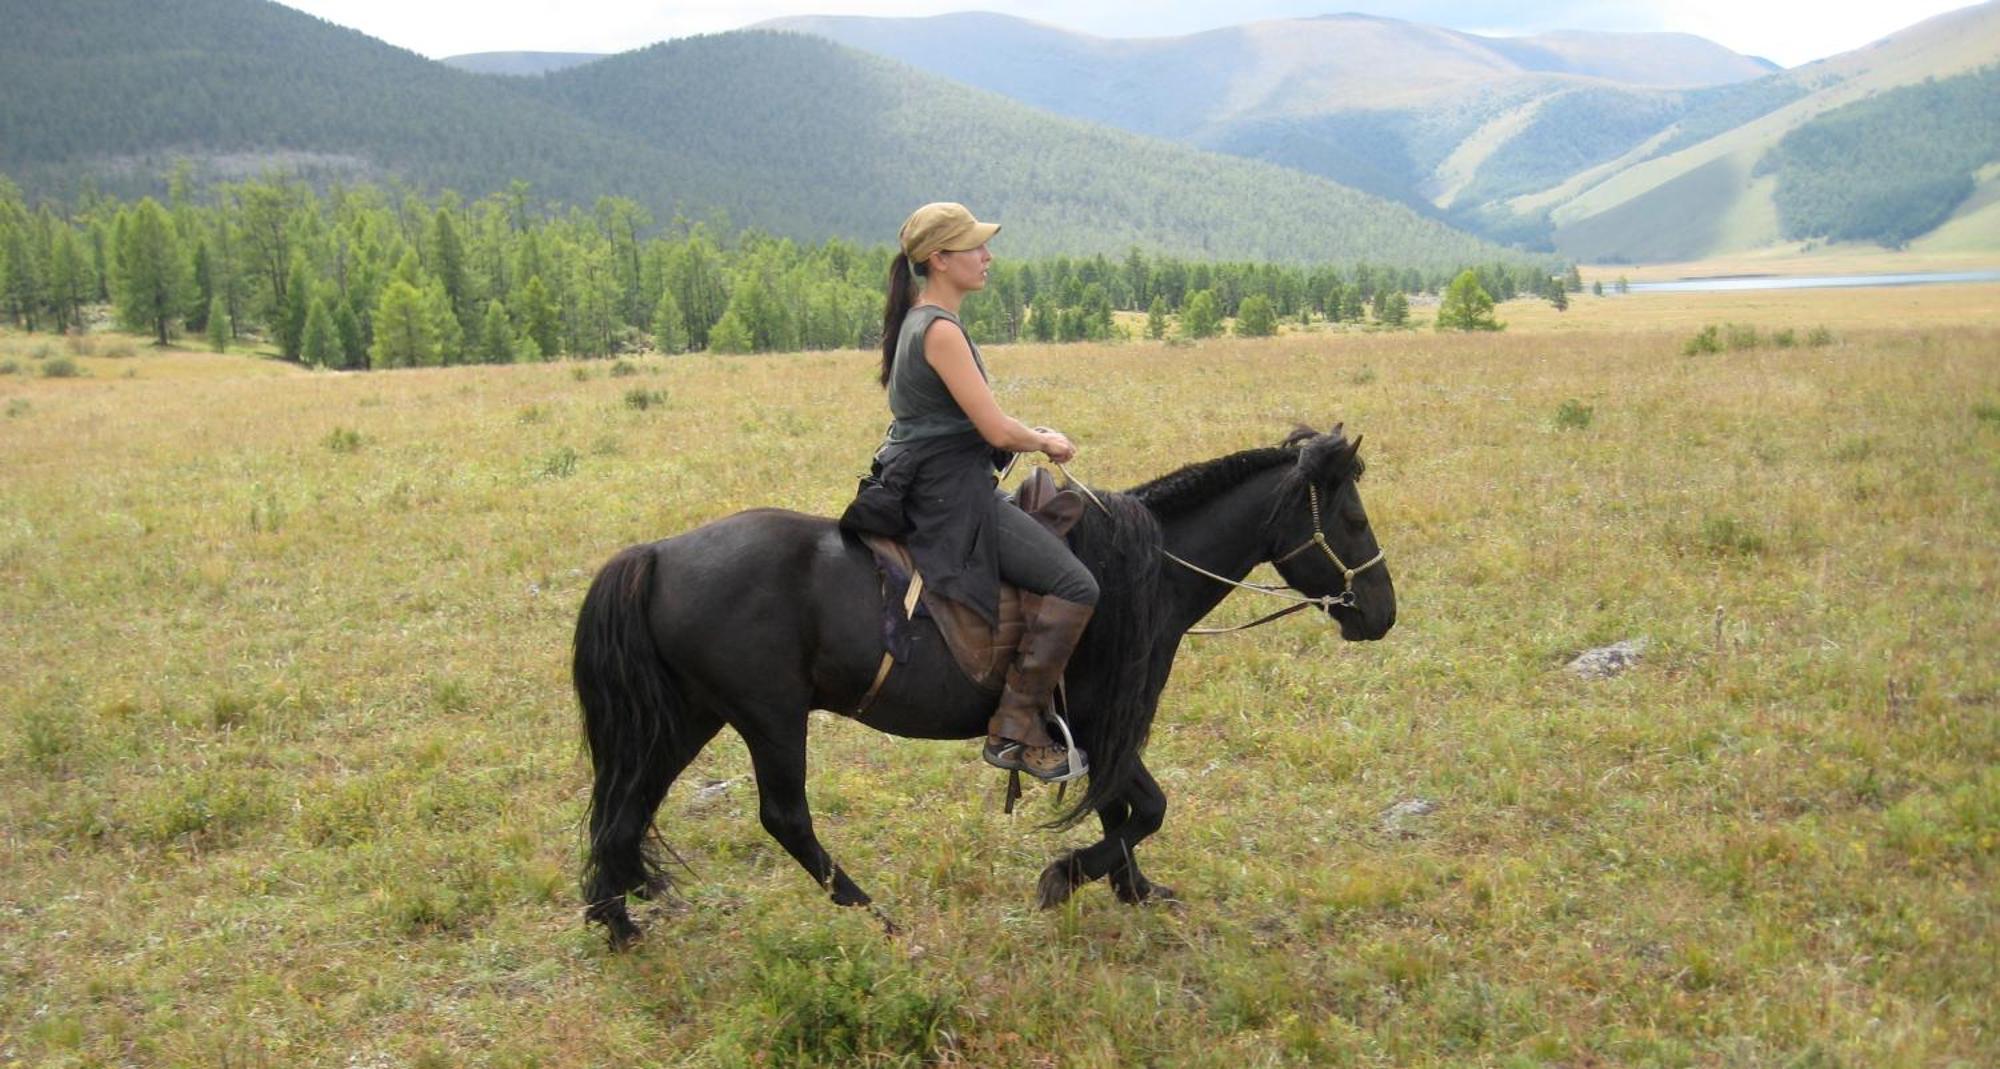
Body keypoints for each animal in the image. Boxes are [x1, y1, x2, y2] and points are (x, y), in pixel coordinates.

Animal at [572, 426, 1400, 948]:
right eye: (1354, 518)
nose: (1382, 612)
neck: (1146, 571)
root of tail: (657, 553)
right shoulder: (1097, 720)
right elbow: (1145, 808)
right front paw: (1064, 877)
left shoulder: (1098, 730)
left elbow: (1121, 808)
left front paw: (1133, 888)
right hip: (769, 716)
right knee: (785, 818)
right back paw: (875, 918)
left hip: (688, 715)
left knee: (625, 807)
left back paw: (619, 923)